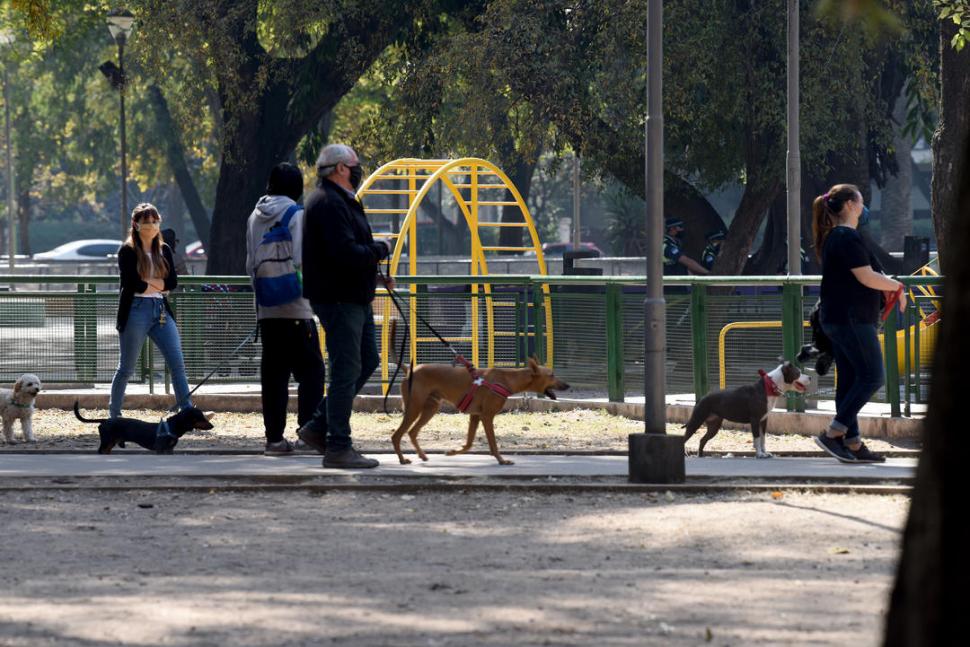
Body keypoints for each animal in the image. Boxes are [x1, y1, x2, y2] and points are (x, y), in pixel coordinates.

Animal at [73, 400, 214, 456]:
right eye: (201, 417)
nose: (212, 426)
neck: (171, 426)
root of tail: (105, 420)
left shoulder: (169, 450)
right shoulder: (160, 449)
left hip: (110, 442)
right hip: (107, 441)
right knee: (100, 451)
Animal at [394, 360, 568, 466]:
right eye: (551, 375)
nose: (568, 385)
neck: (506, 379)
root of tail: (409, 370)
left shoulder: (475, 416)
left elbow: (469, 443)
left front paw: (453, 452)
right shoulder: (487, 416)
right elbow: (493, 444)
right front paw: (502, 460)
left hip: (430, 409)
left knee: (412, 432)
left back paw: (422, 456)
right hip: (414, 408)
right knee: (397, 435)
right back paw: (402, 460)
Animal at [680, 360, 808, 460]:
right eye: (798, 373)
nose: (810, 377)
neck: (770, 387)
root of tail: (701, 398)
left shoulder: (763, 420)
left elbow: (763, 439)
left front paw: (764, 453)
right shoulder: (755, 420)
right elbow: (757, 438)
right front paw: (759, 455)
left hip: (714, 427)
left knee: (702, 440)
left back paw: (700, 455)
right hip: (696, 421)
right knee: (685, 438)